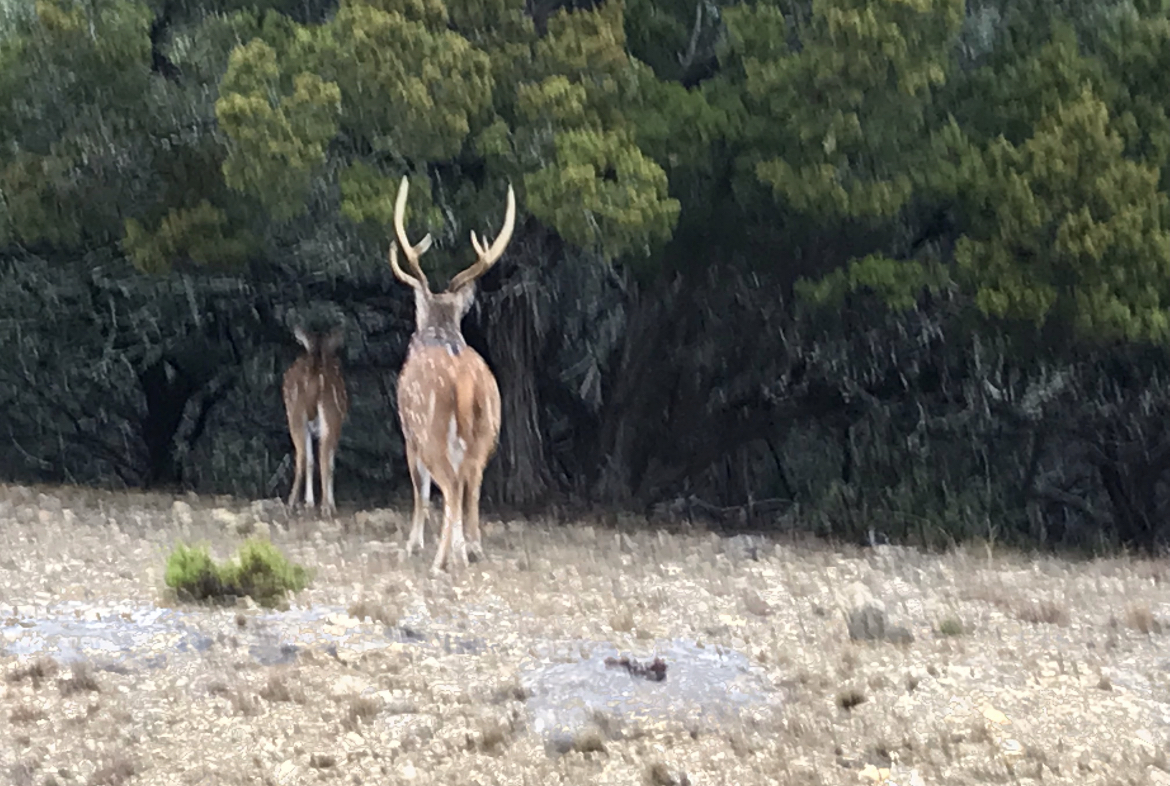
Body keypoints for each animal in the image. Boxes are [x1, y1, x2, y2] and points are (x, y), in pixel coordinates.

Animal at [282, 326, 349, 518]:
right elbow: (330, 463)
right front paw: (328, 503)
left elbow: (310, 460)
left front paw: (309, 502)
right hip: (331, 415)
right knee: (323, 457)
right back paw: (326, 507)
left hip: (295, 415)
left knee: (302, 456)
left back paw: (291, 503)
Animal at [388, 175, 515, 575]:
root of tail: (465, 381)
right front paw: (463, 547)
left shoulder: (407, 434)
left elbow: (420, 489)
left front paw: (412, 544)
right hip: (488, 429)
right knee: (470, 483)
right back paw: (471, 549)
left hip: (429, 429)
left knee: (449, 484)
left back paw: (441, 559)